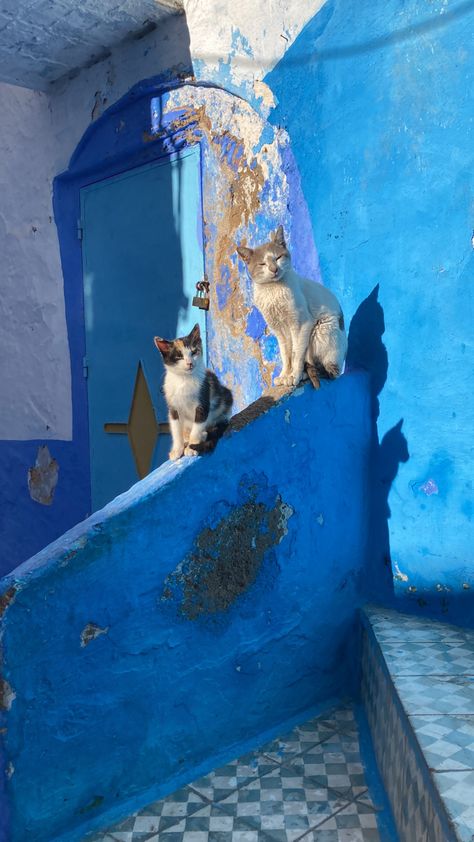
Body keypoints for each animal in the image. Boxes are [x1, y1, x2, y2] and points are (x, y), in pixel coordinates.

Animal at [154, 324, 233, 462]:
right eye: (179, 356)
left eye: (194, 352)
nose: (189, 363)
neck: (184, 380)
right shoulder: (173, 407)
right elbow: (176, 429)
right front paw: (177, 449)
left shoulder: (203, 401)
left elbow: (197, 426)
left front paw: (192, 446)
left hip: (225, 400)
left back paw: (203, 435)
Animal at [239, 226, 346, 390]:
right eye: (262, 264)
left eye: (278, 258)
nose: (274, 269)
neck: (273, 290)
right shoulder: (278, 330)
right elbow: (286, 355)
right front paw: (285, 375)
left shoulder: (301, 324)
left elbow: (296, 354)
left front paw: (293, 375)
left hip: (320, 330)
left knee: (329, 372)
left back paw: (305, 374)